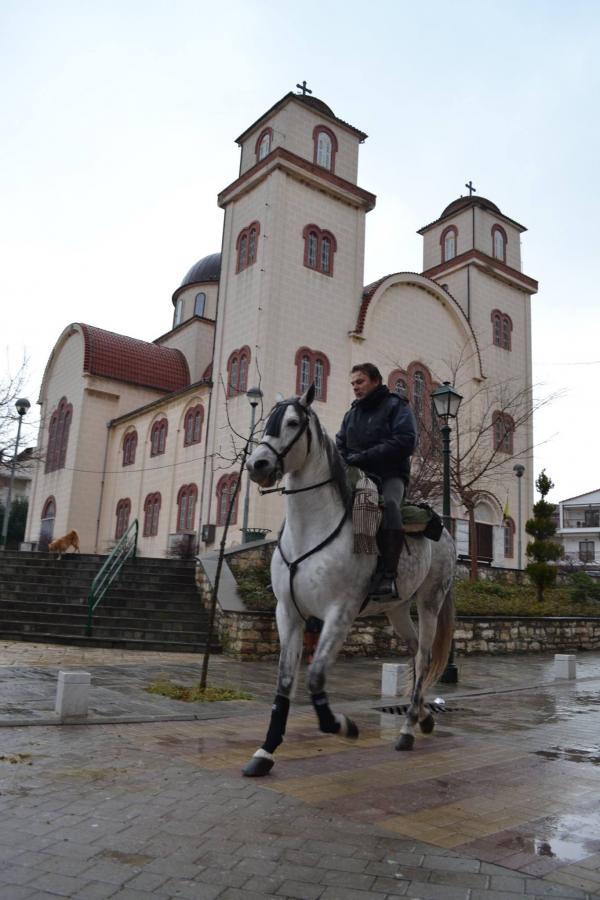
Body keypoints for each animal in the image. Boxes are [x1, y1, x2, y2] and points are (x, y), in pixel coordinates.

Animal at [241, 384, 452, 776]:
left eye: (293, 423)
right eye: (266, 422)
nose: (257, 465)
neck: (310, 529)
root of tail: (442, 528)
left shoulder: (340, 613)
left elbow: (315, 677)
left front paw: (342, 725)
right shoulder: (287, 614)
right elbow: (285, 680)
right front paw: (265, 751)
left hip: (430, 602)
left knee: (425, 654)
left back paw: (407, 729)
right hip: (397, 610)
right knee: (415, 653)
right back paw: (423, 717)